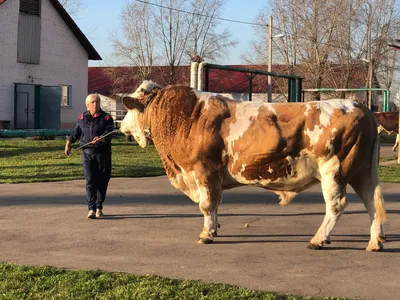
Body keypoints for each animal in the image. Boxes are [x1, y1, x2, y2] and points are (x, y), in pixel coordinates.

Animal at [120, 81, 386, 252]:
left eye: (129, 107)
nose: (121, 126)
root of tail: (358, 105)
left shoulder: (203, 170)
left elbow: (207, 204)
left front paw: (206, 234)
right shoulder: (212, 177)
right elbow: (215, 203)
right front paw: (214, 228)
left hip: (334, 171)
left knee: (337, 205)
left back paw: (318, 239)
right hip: (362, 172)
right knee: (371, 203)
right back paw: (374, 242)